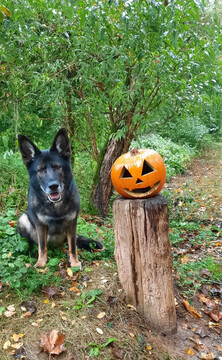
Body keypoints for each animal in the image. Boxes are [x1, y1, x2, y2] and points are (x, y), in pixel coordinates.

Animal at [16, 129, 102, 268]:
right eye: (40, 170)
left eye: (57, 167)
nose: (53, 186)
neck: (56, 206)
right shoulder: (40, 225)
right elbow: (42, 246)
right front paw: (41, 262)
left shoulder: (72, 223)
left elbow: (73, 246)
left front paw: (75, 262)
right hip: (23, 219)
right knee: (31, 243)